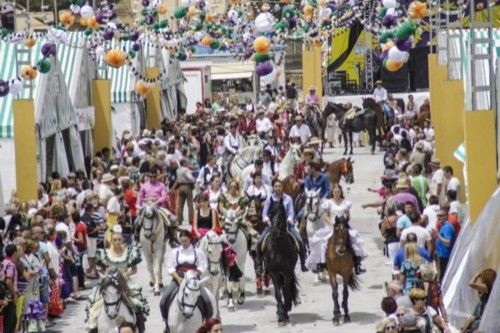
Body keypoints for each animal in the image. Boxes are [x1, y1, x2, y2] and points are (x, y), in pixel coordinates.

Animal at [264, 195, 298, 324]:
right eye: (270, 213)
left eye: (282, 213)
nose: (275, 231)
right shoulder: (273, 271)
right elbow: (278, 293)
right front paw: (281, 314)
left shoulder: (287, 271)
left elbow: (285, 290)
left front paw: (285, 311)